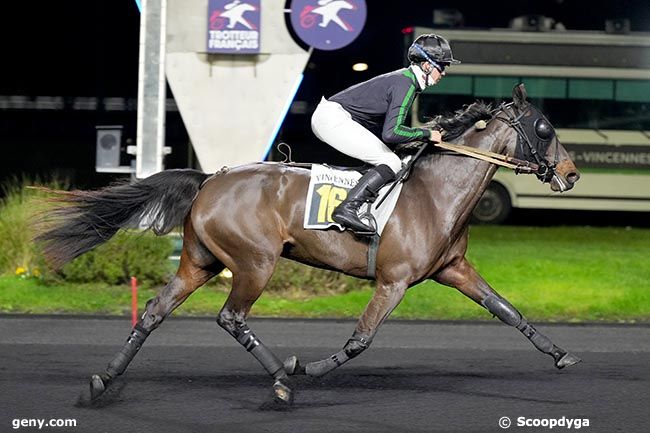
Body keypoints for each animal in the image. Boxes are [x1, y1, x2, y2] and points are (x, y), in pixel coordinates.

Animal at [35, 83, 580, 404]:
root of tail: (211, 178)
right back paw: (282, 378)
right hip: (254, 262)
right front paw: (310, 368)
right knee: (230, 317)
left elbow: (507, 310)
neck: (434, 193)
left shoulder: (453, 270)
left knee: (152, 311)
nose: (572, 174)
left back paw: (103, 380)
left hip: (200, 261)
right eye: (545, 128)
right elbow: (360, 339)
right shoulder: (394, 281)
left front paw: (560, 355)